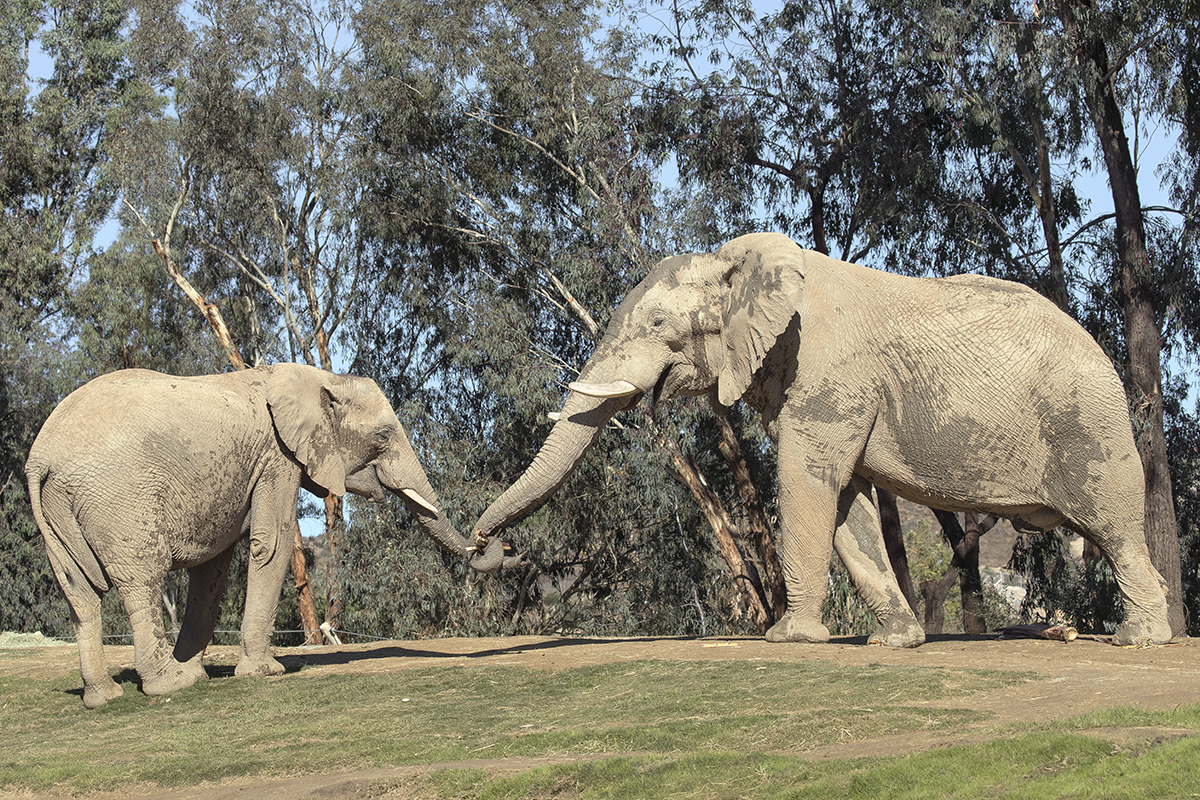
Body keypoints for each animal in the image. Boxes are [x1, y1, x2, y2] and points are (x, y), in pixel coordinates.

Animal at [26, 363, 513, 708]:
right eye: (382, 436)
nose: (492, 543)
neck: (317, 377)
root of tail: (40, 459)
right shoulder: (277, 457)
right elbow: (271, 544)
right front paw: (264, 673)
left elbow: (213, 568)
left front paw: (202, 672)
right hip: (119, 500)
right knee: (141, 580)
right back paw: (169, 685)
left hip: (58, 512)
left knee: (78, 593)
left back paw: (103, 696)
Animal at [471, 232, 1173, 649]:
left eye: (659, 323)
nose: (486, 548)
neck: (742, 262)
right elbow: (846, 504)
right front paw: (895, 643)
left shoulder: (828, 372)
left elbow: (806, 482)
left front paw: (787, 639)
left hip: (1088, 423)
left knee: (1113, 525)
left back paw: (1139, 640)